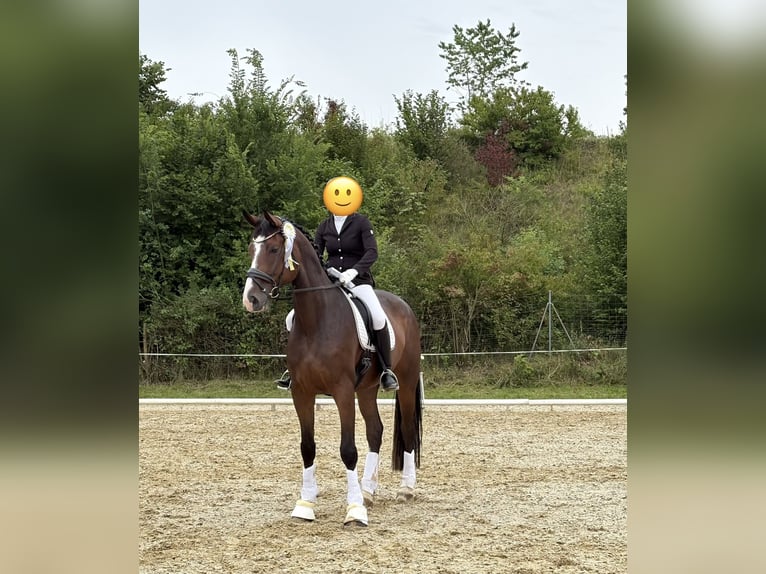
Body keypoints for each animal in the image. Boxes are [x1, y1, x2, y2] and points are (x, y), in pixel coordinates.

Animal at [241, 211, 422, 527]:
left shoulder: (342, 391)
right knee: (375, 431)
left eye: (274, 250)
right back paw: (368, 492)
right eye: (252, 249)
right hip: (367, 389)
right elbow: (307, 446)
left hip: (407, 381)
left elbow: (347, 450)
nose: (251, 299)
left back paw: (405, 490)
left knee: (408, 430)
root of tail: (404, 306)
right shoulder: (301, 392)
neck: (317, 320)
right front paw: (305, 504)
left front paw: (355, 511)